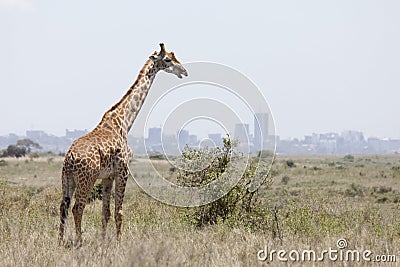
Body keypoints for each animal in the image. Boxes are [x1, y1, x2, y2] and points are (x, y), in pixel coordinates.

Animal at [57, 44, 188, 247]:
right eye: (167, 59)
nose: (184, 71)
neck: (124, 121)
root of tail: (70, 158)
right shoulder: (123, 170)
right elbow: (119, 212)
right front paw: (119, 242)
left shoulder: (107, 176)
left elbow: (106, 212)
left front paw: (103, 241)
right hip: (86, 179)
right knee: (77, 208)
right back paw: (79, 242)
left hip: (67, 179)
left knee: (63, 207)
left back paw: (60, 242)